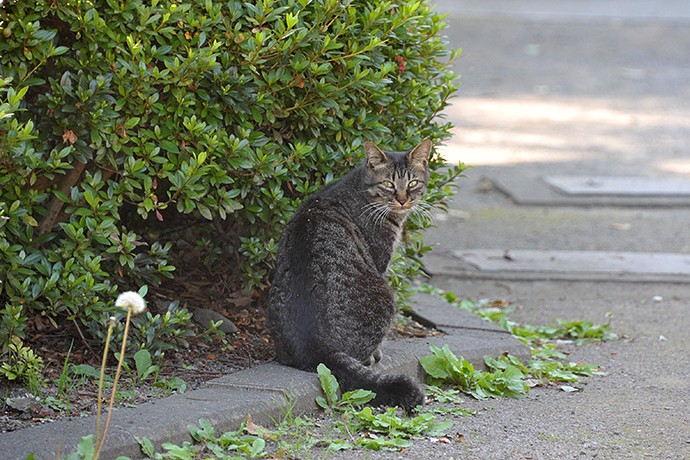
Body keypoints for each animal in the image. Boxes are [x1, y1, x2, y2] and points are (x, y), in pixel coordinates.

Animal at [268, 137, 432, 410]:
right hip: (386, 296)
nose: (402, 200)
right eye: (389, 184)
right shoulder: (380, 261)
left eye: (412, 183)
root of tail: (317, 346)